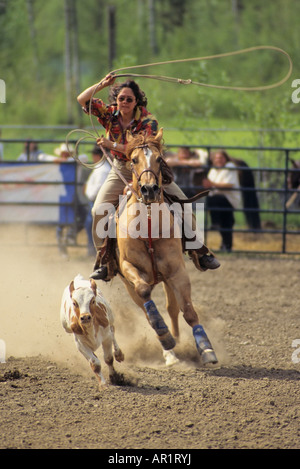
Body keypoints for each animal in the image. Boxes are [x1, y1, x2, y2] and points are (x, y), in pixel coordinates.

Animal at [115, 128, 218, 366]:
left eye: (160, 159)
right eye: (133, 160)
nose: (149, 189)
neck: (148, 225)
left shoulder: (176, 271)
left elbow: (188, 311)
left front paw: (205, 348)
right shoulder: (128, 267)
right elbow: (145, 294)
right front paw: (164, 336)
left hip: (167, 279)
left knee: (172, 308)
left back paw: (176, 344)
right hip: (129, 285)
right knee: (146, 308)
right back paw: (168, 348)